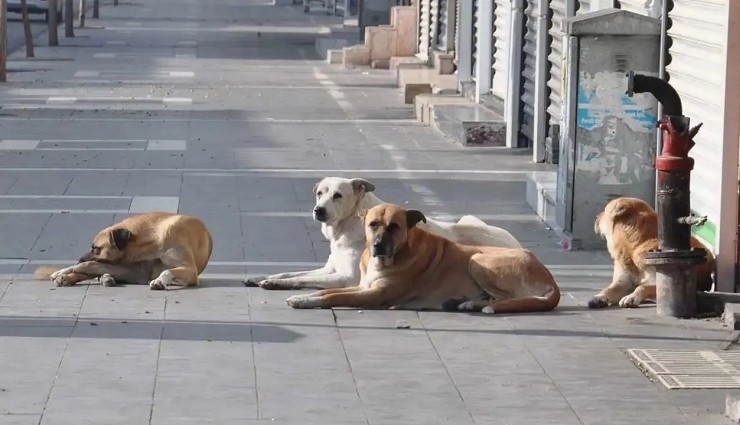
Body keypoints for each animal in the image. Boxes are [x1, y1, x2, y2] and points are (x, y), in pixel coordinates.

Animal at [35, 211, 214, 290]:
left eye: (96, 248)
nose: (79, 258)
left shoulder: (190, 270)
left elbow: (167, 271)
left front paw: (159, 281)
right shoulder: (135, 270)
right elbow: (87, 266)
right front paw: (63, 271)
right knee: (93, 270)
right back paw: (68, 277)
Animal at [243, 177, 520, 290]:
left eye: (338, 195)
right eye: (320, 193)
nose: (318, 210)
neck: (347, 227)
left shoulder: (346, 278)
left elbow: (301, 279)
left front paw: (274, 284)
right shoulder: (329, 268)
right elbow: (291, 272)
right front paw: (262, 277)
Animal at [286, 202, 556, 312]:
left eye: (394, 226)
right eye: (373, 224)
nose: (378, 246)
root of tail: (550, 279)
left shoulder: (373, 295)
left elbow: (332, 296)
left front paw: (304, 301)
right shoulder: (363, 287)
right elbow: (325, 291)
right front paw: (304, 296)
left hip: (477, 260)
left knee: (506, 299)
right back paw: (465, 303)